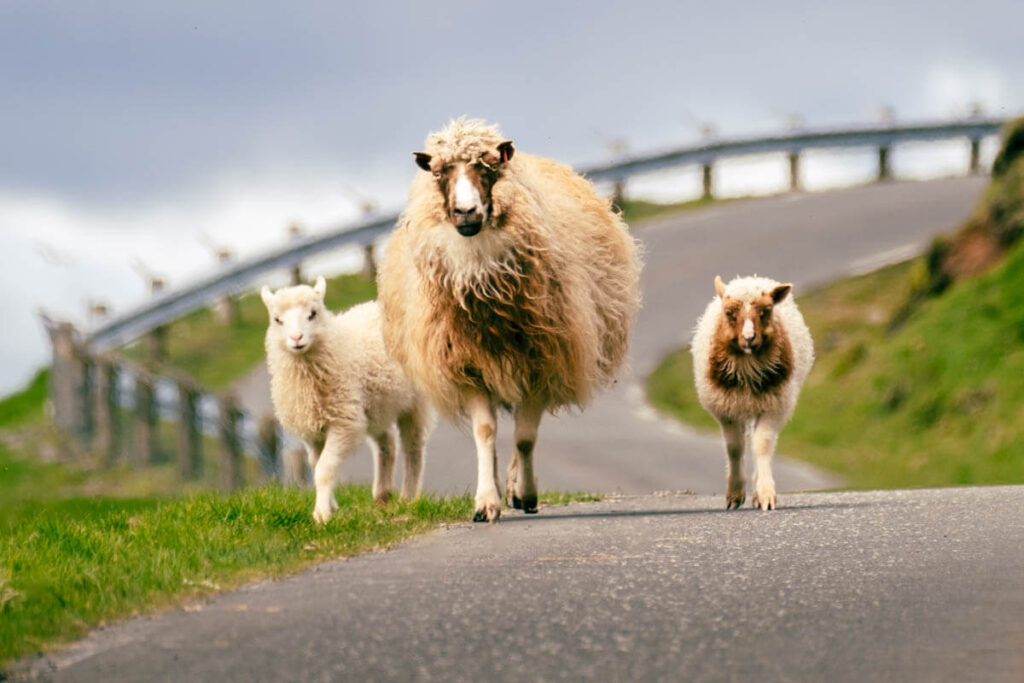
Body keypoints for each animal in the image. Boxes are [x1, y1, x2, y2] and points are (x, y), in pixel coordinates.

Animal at [262, 278, 434, 524]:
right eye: (277, 319)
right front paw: (331, 505)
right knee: (387, 443)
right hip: (374, 407)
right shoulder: (312, 432)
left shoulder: (343, 422)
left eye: (313, 313)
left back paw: (407, 498)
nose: (296, 338)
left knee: (413, 447)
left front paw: (322, 514)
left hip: (414, 402)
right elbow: (317, 466)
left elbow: (324, 469)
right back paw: (382, 495)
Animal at [380, 118, 643, 524]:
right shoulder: (467, 364)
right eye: (440, 172)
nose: (466, 212)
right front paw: (486, 502)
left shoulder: (541, 359)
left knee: (523, 428)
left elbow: (524, 438)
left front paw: (526, 494)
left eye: (488, 168)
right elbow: (486, 431)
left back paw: (518, 488)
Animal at [688, 274, 815, 509]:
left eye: (765, 311)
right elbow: (734, 448)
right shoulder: (726, 410)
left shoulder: (773, 406)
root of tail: (750, 278)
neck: (747, 367)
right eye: (730, 313)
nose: (748, 338)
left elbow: (762, 445)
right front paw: (734, 495)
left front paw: (765, 494)